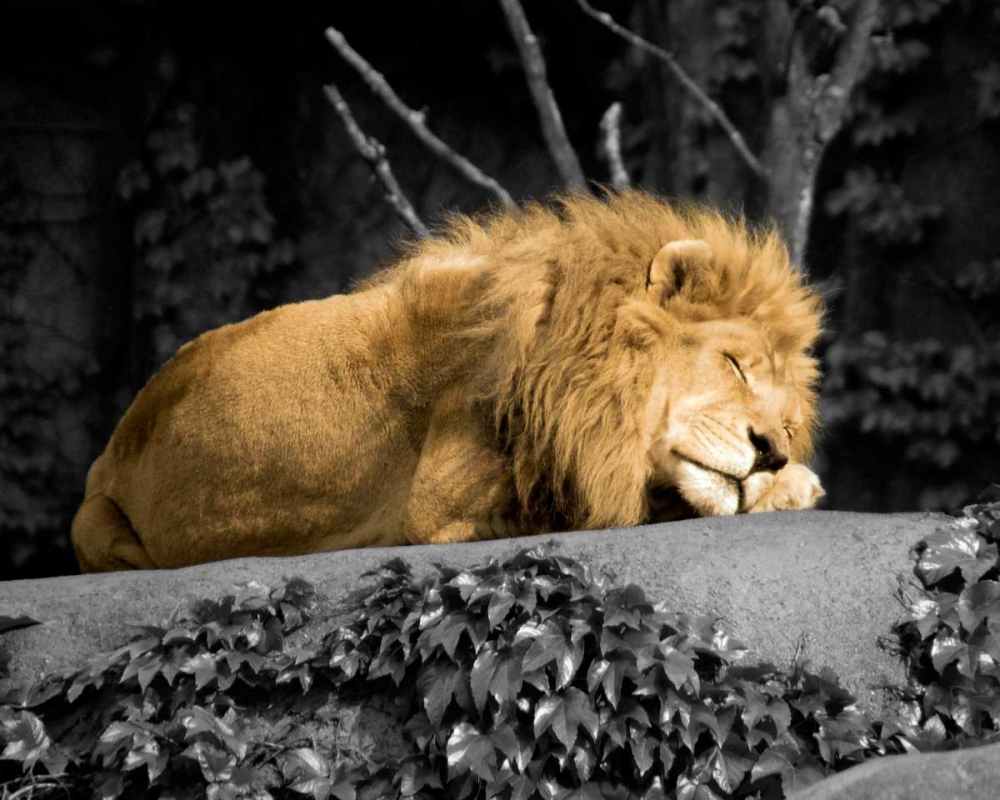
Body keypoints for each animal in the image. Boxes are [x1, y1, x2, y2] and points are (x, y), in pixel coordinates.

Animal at [71, 190, 824, 572]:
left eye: (789, 422)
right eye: (733, 363)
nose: (772, 451)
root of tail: (108, 453)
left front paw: (791, 479)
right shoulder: (448, 508)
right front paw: (795, 485)